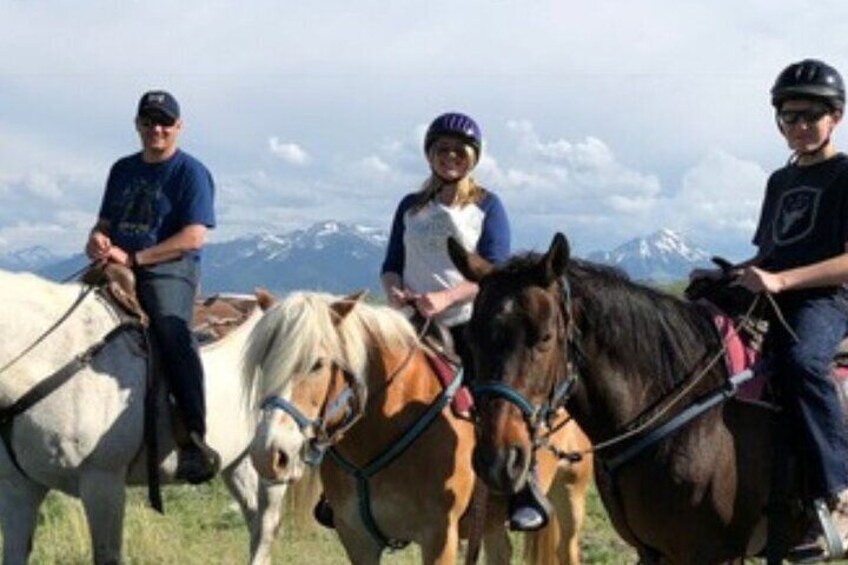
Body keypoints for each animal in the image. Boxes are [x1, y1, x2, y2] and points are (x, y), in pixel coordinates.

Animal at [0, 268, 284, 564]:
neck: (59, 355)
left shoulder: (103, 483)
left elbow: (107, 554)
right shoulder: (18, 487)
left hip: (273, 458)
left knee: (266, 524)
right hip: (239, 460)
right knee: (253, 518)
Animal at [242, 290, 592, 564]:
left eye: (317, 364)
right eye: (264, 362)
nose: (269, 454)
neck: (384, 426)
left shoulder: (439, 537)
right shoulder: (357, 539)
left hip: (571, 492)